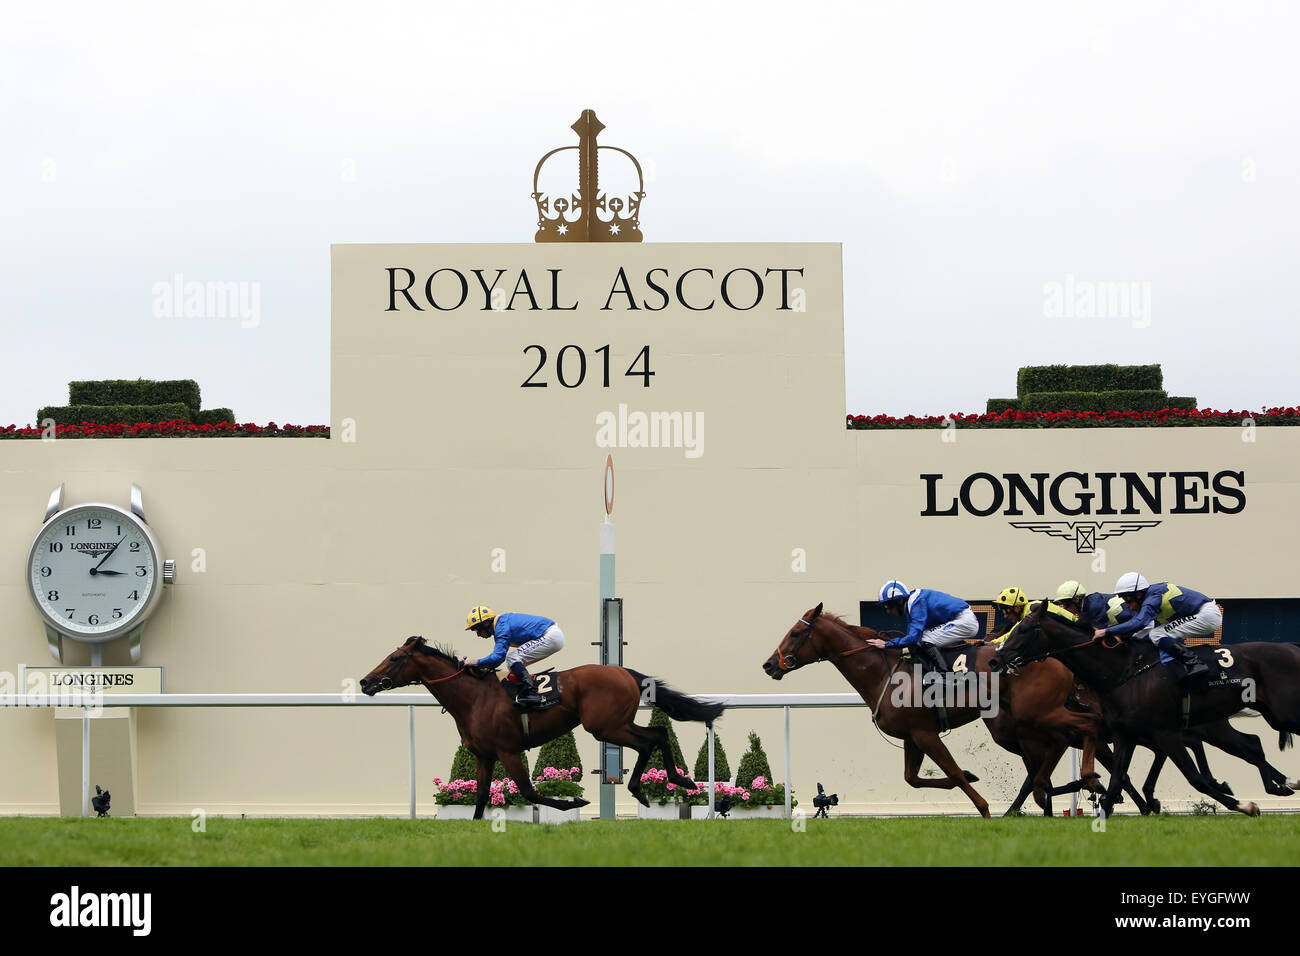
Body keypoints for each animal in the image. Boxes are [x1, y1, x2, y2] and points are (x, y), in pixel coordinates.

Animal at [361, 639, 728, 816]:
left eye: (395, 658)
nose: (365, 682)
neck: (474, 697)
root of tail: (625, 672)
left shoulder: (508, 750)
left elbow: (529, 791)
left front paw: (575, 804)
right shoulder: (484, 755)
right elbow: (480, 795)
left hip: (605, 727)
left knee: (651, 739)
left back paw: (655, 786)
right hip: (616, 724)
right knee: (658, 736)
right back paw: (674, 781)